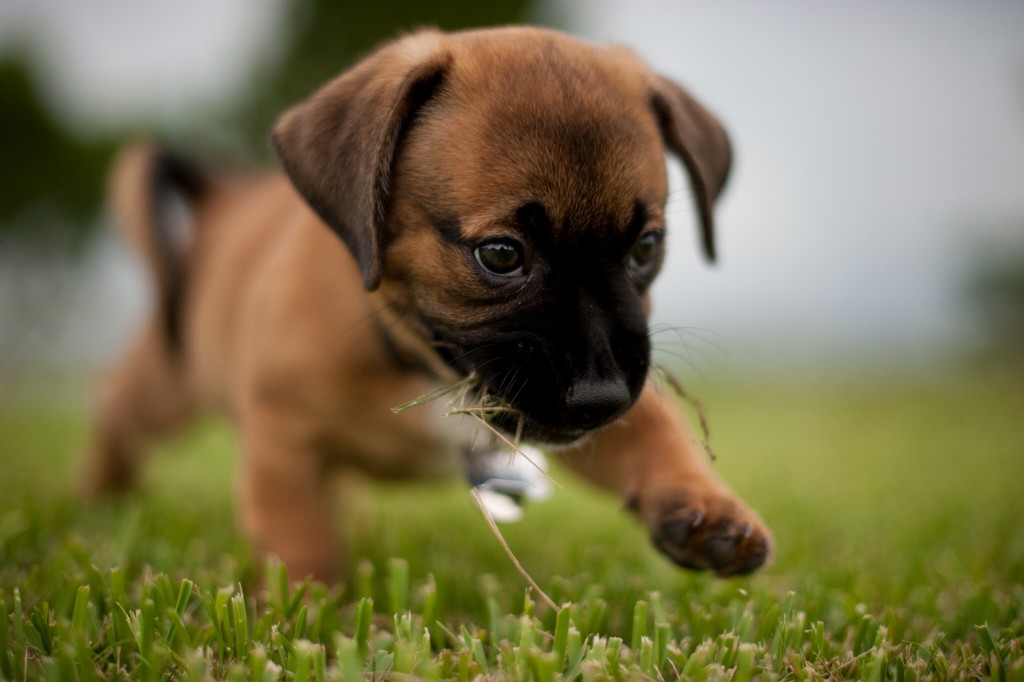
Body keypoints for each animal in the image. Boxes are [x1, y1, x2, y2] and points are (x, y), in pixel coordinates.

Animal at [83, 26, 770, 577]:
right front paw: (313, 613)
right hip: (162, 387)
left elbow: (656, 431)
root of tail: (220, 197)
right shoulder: (281, 442)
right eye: (501, 255)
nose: (600, 398)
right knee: (116, 420)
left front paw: (706, 507)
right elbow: (303, 543)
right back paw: (95, 505)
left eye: (645, 248)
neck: (413, 358)